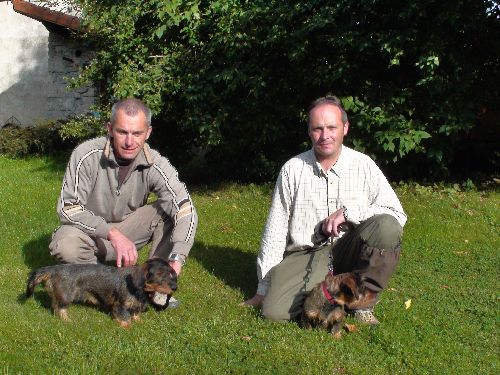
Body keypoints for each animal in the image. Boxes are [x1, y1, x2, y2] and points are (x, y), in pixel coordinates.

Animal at [26, 260, 178, 328]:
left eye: (171, 273)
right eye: (159, 274)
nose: (175, 287)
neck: (139, 289)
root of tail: (53, 269)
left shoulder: (135, 306)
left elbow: (135, 314)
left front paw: (139, 322)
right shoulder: (120, 306)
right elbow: (126, 319)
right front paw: (128, 328)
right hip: (66, 296)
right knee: (60, 308)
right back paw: (67, 321)